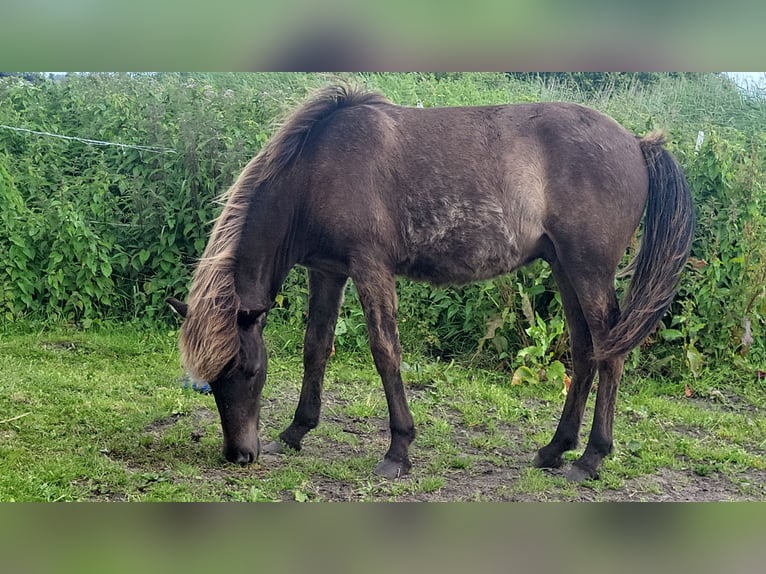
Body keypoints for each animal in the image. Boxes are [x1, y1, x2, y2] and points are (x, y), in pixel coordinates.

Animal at [168, 83, 696, 484]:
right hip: (567, 269)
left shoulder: (370, 267)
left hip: (589, 271)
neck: (317, 168)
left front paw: (398, 450)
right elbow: (315, 347)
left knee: (610, 353)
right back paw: (554, 450)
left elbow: (385, 351)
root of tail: (638, 144)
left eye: (249, 371)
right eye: (210, 382)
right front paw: (296, 433)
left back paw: (590, 459)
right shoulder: (329, 270)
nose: (240, 454)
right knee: (586, 352)